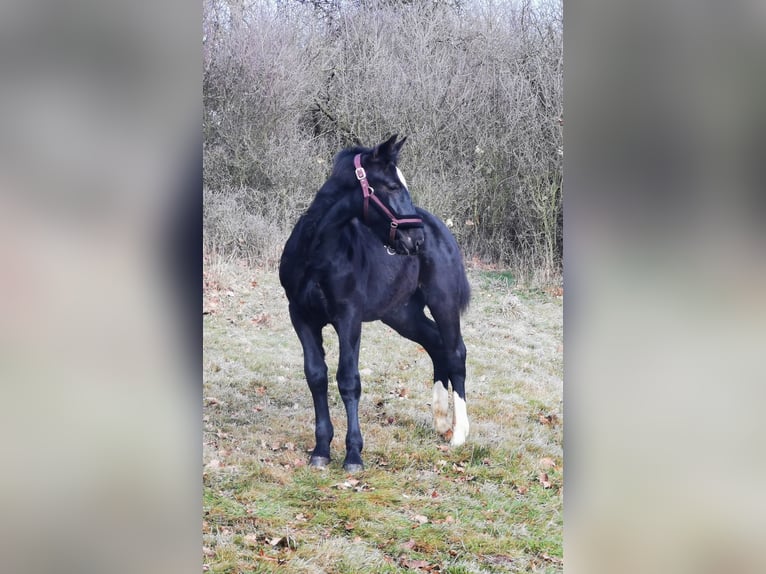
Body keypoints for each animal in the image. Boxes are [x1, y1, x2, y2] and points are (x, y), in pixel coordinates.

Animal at [282, 135, 472, 472]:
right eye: (393, 186)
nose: (416, 239)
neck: (317, 252)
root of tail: (440, 229)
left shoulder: (348, 317)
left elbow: (348, 380)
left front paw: (353, 455)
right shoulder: (301, 316)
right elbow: (316, 375)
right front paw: (321, 450)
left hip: (443, 301)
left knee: (455, 352)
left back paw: (459, 433)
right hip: (401, 314)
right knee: (435, 344)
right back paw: (440, 420)